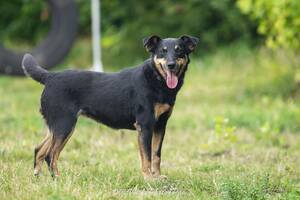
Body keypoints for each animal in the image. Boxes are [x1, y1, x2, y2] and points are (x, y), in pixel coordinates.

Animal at [21, 34, 199, 180]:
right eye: (162, 51)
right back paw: (58, 178)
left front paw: (157, 177)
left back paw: (38, 177)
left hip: (56, 126)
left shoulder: (160, 125)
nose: (171, 65)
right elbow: (147, 157)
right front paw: (149, 179)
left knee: (39, 150)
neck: (156, 80)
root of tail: (50, 76)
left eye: (179, 51)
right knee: (50, 154)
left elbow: (156, 155)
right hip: (64, 125)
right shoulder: (145, 126)